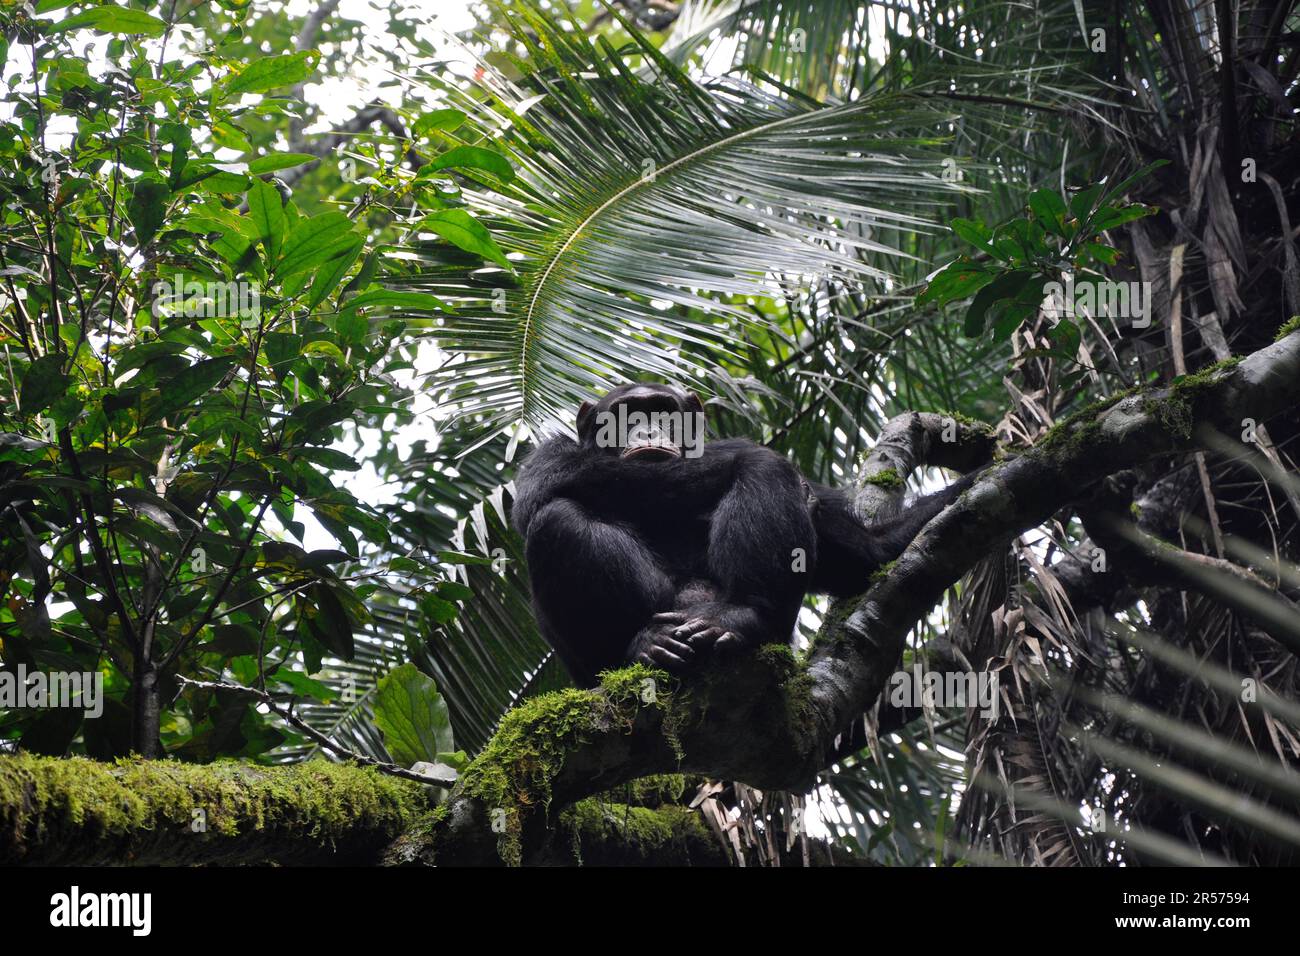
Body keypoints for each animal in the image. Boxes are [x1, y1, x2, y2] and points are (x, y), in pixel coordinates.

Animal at [509, 382, 977, 686]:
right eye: (626, 416)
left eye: (663, 412)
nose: (647, 429)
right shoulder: (548, 455)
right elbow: (550, 487)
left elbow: (868, 554)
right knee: (556, 518)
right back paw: (643, 646)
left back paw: (744, 617)